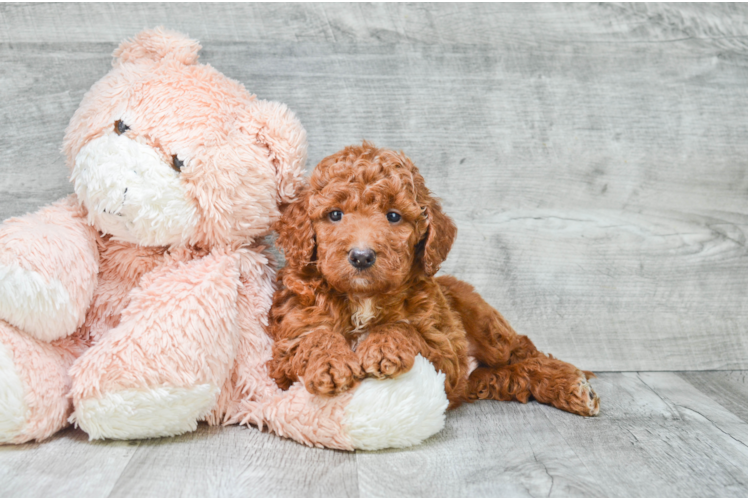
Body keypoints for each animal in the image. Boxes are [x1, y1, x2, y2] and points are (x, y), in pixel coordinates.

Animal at [266, 143, 600, 416]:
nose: (361, 256)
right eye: (335, 215)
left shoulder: (445, 352)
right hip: (478, 375)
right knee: (509, 375)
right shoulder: (283, 352)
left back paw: (572, 385)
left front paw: (382, 346)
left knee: (525, 351)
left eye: (393, 216)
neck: (363, 298)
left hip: (486, 326)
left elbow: (404, 328)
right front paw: (330, 364)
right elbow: (315, 337)